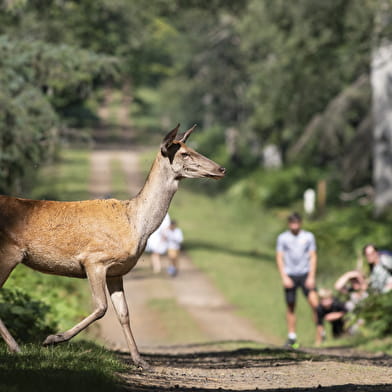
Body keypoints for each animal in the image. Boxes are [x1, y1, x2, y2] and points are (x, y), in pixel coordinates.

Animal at [0, 125, 227, 368]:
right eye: (184, 153)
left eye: (191, 148)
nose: (221, 168)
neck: (135, 225)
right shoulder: (94, 260)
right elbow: (101, 307)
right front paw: (52, 338)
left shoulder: (116, 272)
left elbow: (124, 313)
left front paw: (140, 360)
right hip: (9, 252)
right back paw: (16, 347)